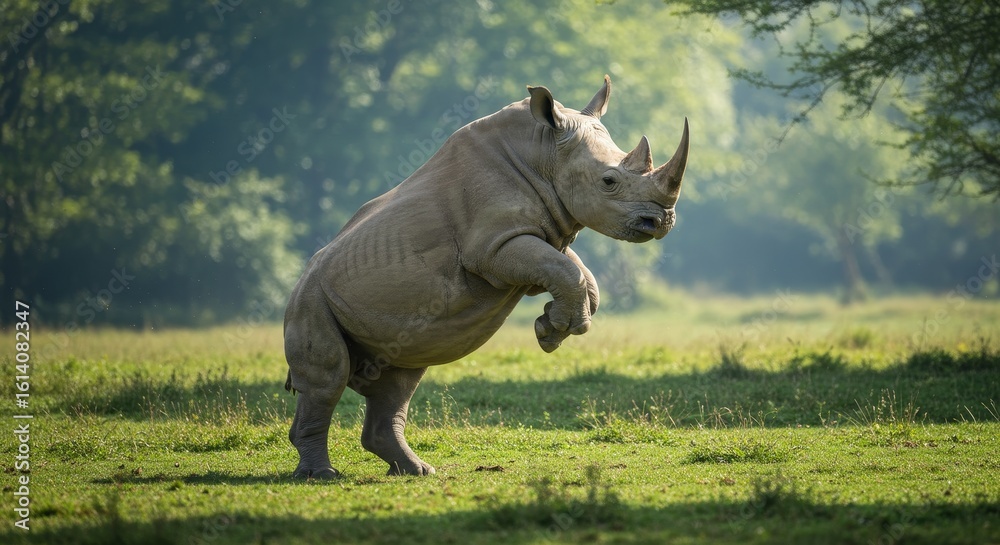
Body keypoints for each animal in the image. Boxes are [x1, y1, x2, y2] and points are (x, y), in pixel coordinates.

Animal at [284, 76, 689, 477]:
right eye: (608, 181)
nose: (661, 221)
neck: (546, 152)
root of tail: (301, 279)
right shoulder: (492, 247)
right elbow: (566, 269)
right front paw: (555, 329)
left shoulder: (544, 232)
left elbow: (581, 276)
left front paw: (551, 328)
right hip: (309, 297)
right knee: (328, 379)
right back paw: (322, 475)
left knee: (400, 378)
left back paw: (417, 470)